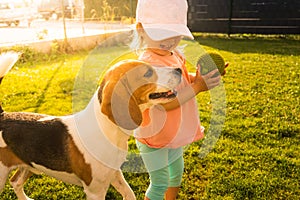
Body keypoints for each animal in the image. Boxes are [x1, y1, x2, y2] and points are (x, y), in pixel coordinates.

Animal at [0, 52, 182, 199]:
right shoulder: (95, 191)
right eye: (148, 73)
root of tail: (3, 115)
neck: (107, 130)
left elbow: (129, 194)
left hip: (28, 165)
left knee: (15, 182)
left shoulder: (115, 173)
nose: (179, 69)